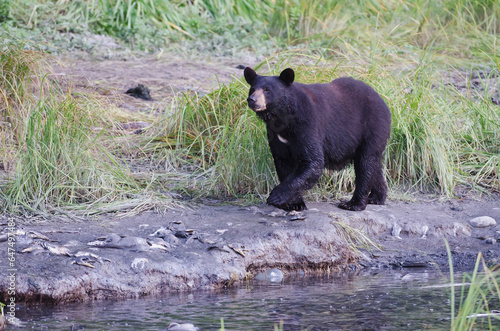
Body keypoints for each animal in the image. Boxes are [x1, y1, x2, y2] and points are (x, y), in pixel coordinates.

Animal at [244, 67, 392, 213]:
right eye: (253, 89)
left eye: (267, 90)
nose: (252, 100)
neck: (283, 118)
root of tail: (382, 101)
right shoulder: (276, 134)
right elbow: (283, 161)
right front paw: (295, 204)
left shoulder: (306, 124)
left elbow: (312, 161)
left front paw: (276, 196)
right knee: (374, 165)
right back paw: (376, 197)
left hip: (372, 127)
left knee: (365, 163)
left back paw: (353, 204)